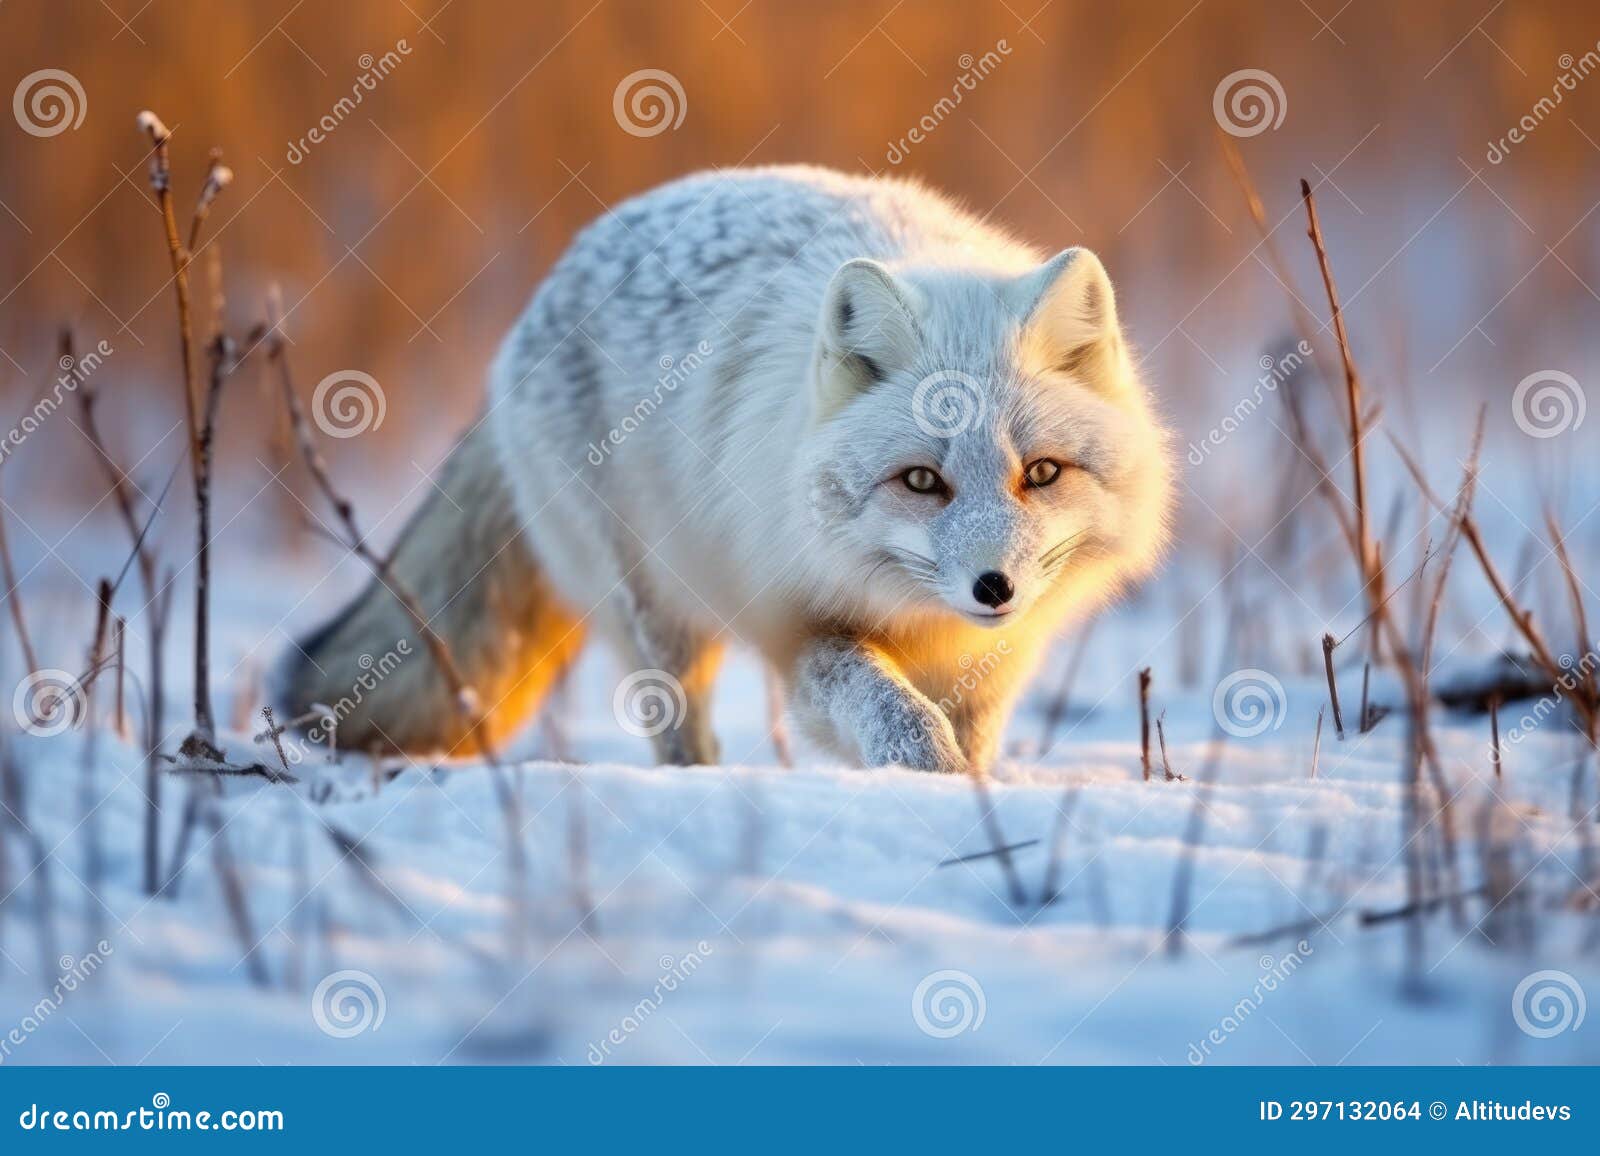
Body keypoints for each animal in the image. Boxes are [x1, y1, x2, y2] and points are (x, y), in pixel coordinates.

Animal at [281, 165, 1174, 774]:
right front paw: (931, 779)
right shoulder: (799, 627)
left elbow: (971, 734)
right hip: (661, 612)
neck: (920, 620)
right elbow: (897, 712)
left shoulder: (997, 662)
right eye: (923, 481)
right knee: (682, 734)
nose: (995, 588)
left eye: (1042, 473)